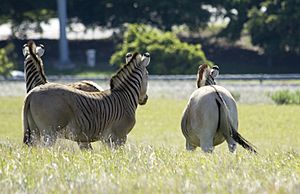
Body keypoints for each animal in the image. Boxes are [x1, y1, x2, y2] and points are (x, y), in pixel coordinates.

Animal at [21, 52, 150, 150]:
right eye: (147, 75)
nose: (145, 99)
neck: (124, 96)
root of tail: (32, 93)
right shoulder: (120, 137)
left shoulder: (107, 139)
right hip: (49, 133)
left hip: (34, 132)